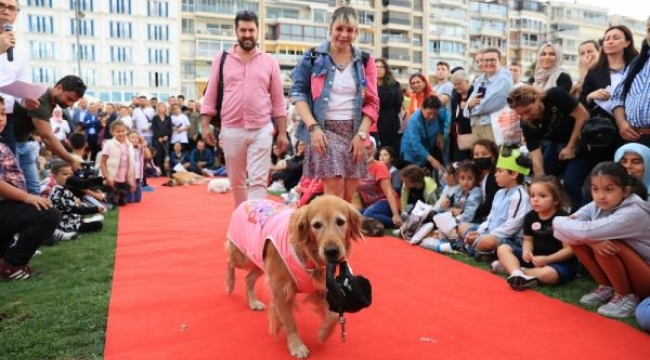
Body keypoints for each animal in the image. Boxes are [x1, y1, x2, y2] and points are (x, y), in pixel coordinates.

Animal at [225, 195, 362, 358]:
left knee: (248, 278)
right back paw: (229, 283)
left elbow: (334, 316)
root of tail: (251, 200)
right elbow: (290, 322)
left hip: (260, 259)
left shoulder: (320, 288)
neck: (309, 256)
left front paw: (323, 333)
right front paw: (296, 346)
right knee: (230, 260)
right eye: (316, 225)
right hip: (244, 255)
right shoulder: (281, 291)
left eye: (340, 222)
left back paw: (253, 302)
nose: (332, 251)